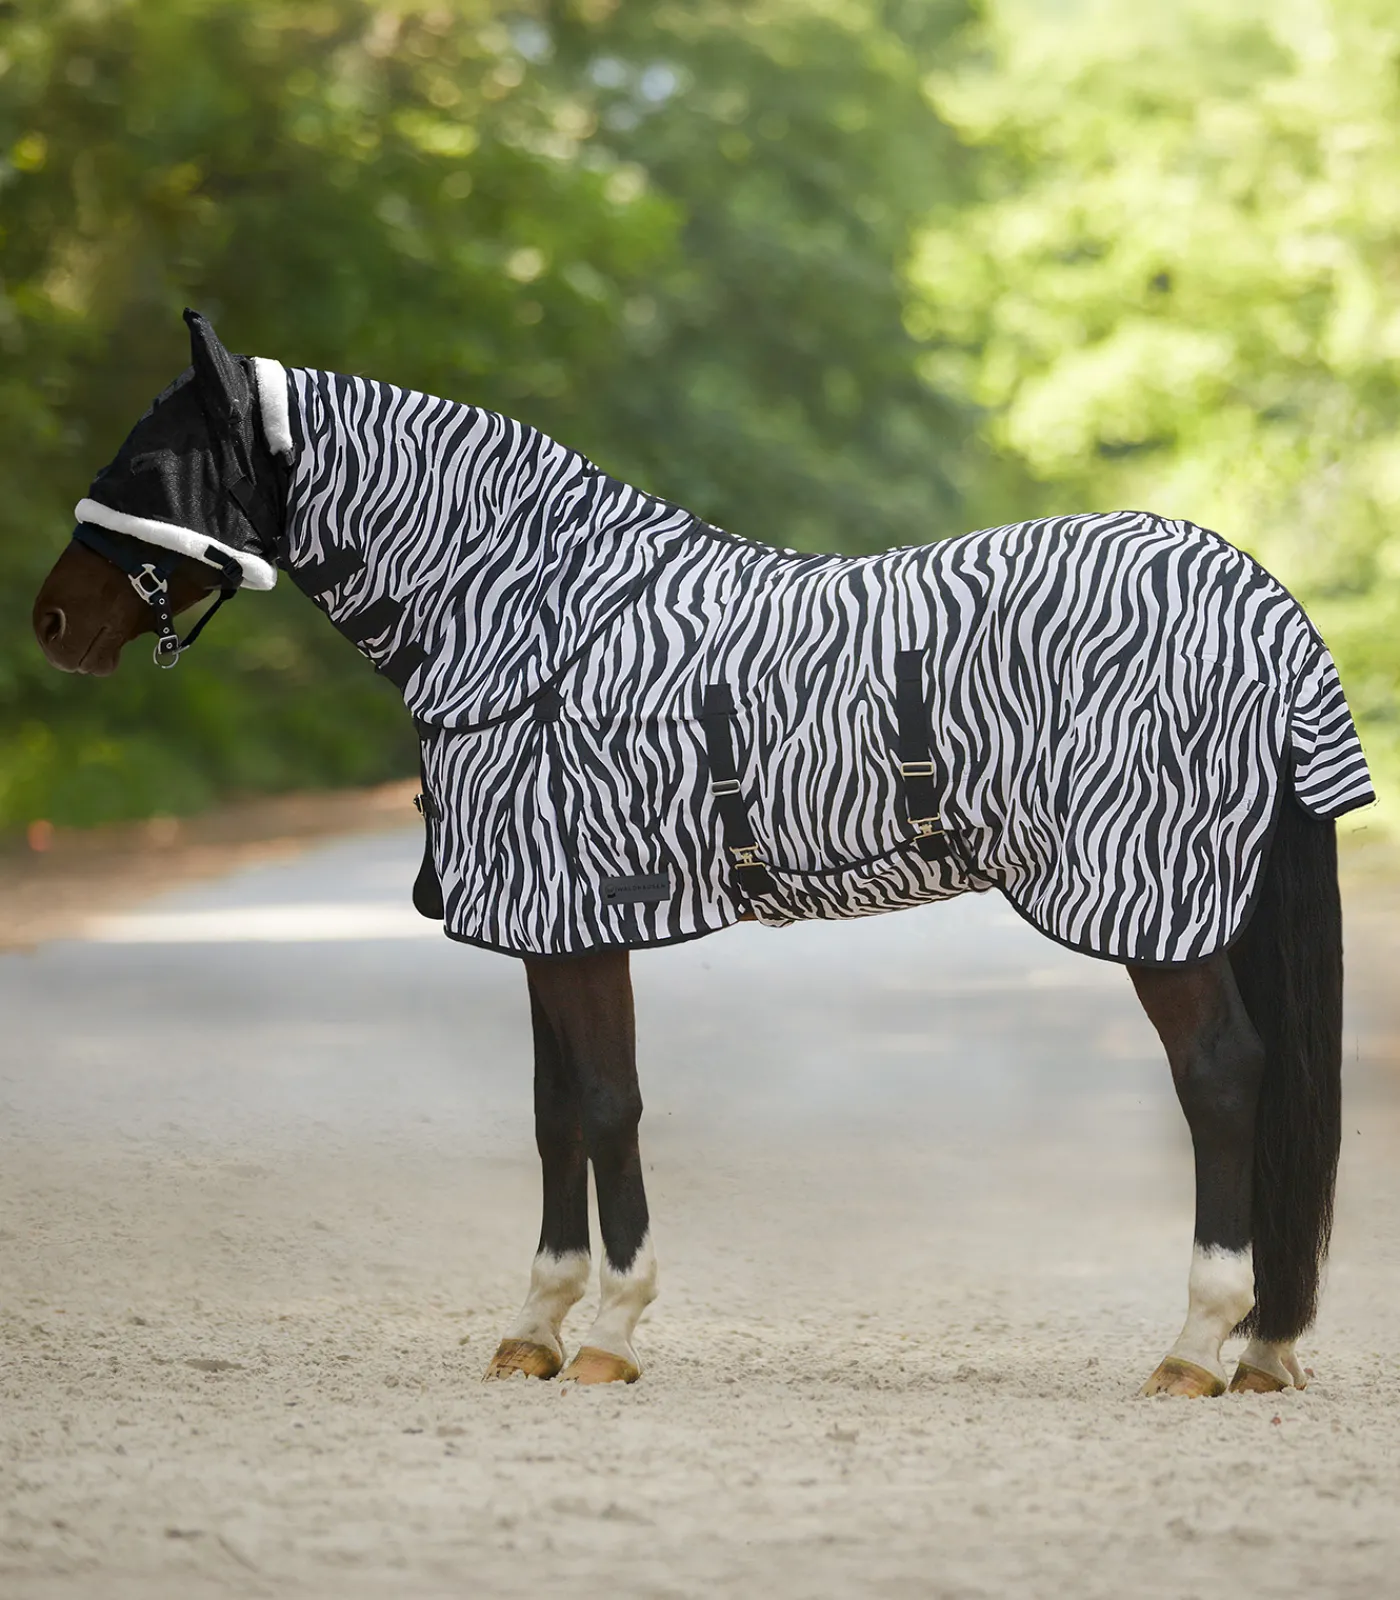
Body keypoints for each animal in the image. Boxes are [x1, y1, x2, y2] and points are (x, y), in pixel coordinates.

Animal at [34, 309, 1373, 1396]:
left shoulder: (579, 915)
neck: (537, 626)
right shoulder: (548, 922)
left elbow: (607, 1102)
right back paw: (1261, 1346)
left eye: (150, 466)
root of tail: (1262, 603)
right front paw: (534, 1327)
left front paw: (610, 1333)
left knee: (1222, 1078)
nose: (50, 623)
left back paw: (1195, 1346)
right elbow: (555, 1111)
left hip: (1157, 905)